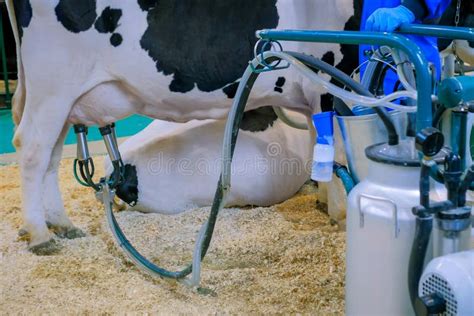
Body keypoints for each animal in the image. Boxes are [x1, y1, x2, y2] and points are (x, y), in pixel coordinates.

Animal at [6, 0, 362, 253]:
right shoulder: (332, 75)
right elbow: (338, 152)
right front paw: (341, 215)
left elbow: (321, 144)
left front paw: (324, 203)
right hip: (54, 81)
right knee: (32, 149)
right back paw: (40, 234)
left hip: (53, 96)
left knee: (50, 154)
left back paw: (61, 223)